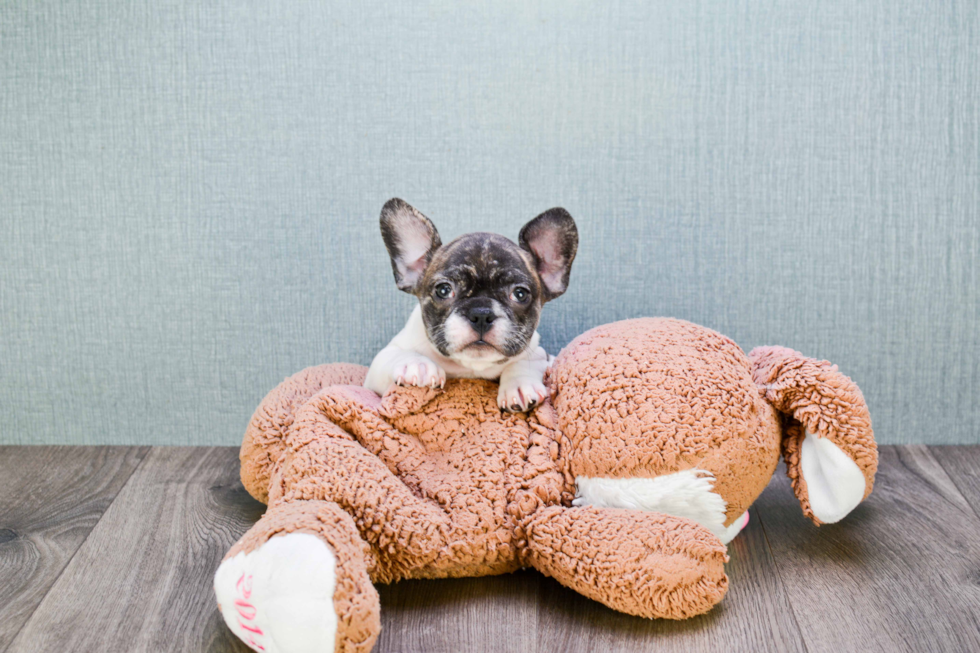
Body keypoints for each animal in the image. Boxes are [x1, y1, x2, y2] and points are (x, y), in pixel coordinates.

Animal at [366, 199, 580, 412]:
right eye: (443, 290)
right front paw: (417, 364)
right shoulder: (376, 370)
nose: (482, 314)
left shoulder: (543, 354)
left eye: (520, 294)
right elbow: (394, 355)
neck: (471, 367)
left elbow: (527, 362)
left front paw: (519, 385)